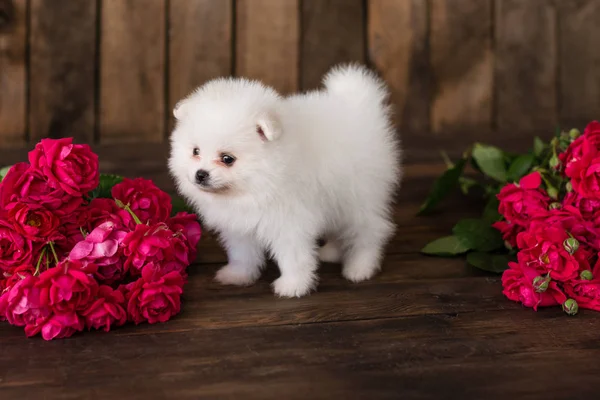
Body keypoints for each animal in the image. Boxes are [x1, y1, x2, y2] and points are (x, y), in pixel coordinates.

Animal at [169, 64, 400, 296]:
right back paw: (332, 252)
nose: (200, 174)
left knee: (369, 230)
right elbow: (242, 253)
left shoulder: (289, 222)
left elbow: (293, 257)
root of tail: (360, 107)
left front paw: (293, 285)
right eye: (195, 151)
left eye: (227, 159)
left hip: (358, 196)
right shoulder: (240, 225)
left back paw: (361, 267)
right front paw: (238, 275)